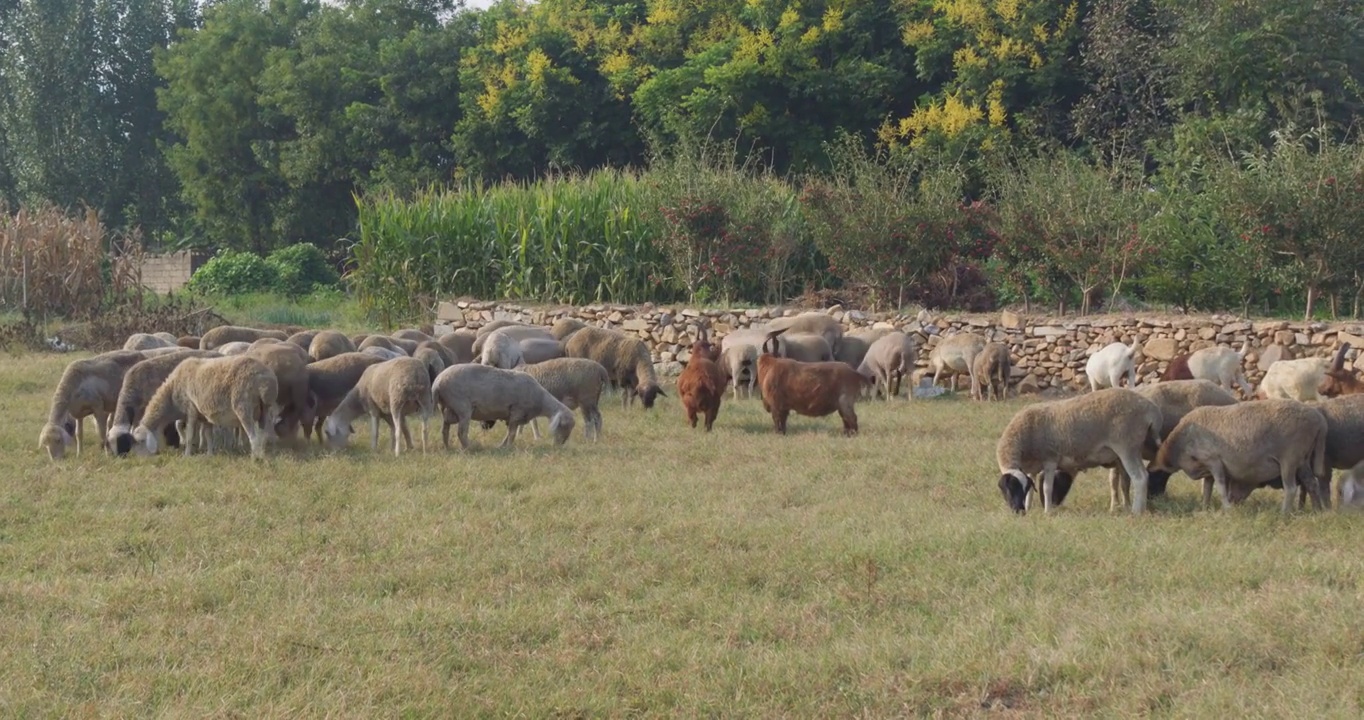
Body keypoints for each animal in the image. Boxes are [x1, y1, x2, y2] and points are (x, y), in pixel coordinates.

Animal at [133, 351, 282, 458]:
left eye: (141, 441)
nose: (140, 460)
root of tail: (267, 380)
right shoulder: (204, 415)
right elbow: (208, 436)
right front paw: (210, 454)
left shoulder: (191, 409)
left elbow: (190, 435)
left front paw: (186, 455)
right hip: (264, 409)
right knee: (265, 434)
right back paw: (264, 454)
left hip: (243, 406)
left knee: (253, 437)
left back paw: (255, 458)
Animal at [428, 362, 572, 447]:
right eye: (564, 426)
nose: (560, 445)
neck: (541, 400)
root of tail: (437, 383)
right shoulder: (517, 412)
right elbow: (512, 434)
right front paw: (509, 447)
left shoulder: (513, 417)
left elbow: (509, 433)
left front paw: (502, 446)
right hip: (462, 406)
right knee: (461, 432)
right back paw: (469, 448)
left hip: (447, 407)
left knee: (444, 430)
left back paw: (448, 447)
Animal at [992, 390, 1162, 515]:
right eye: (1010, 488)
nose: (1019, 512)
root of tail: (1150, 408)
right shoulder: (1032, 467)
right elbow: (1031, 489)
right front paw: (1029, 508)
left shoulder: (1050, 459)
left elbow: (1047, 487)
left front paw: (1047, 512)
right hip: (1131, 449)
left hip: (1127, 446)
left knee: (1140, 477)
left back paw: (1136, 511)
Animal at [1156, 398, 1325, 512]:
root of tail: (1318, 419)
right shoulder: (1207, 467)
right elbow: (1207, 489)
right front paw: (1205, 509)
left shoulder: (1214, 461)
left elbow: (1220, 486)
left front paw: (1226, 510)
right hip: (1303, 460)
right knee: (1312, 483)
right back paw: (1317, 511)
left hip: (1289, 458)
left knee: (1290, 488)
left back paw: (1284, 513)